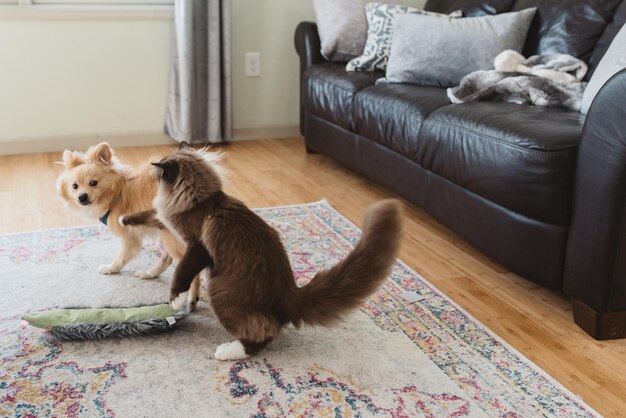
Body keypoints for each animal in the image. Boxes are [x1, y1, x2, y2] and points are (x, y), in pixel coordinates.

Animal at [55, 144, 199, 310]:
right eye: (74, 186)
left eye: (93, 183)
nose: (82, 196)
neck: (117, 194)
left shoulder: (129, 236)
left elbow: (122, 257)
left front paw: (111, 269)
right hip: (169, 235)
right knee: (168, 259)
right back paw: (150, 274)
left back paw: (189, 300)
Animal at [120, 145, 402, 360]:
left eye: (159, 176)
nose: (153, 176)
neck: (205, 200)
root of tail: (290, 294)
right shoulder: (166, 222)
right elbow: (147, 215)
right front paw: (123, 219)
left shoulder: (196, 248)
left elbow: (181, 274)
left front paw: (176, 300)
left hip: (220, 289)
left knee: (263, 335)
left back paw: (227, 352)